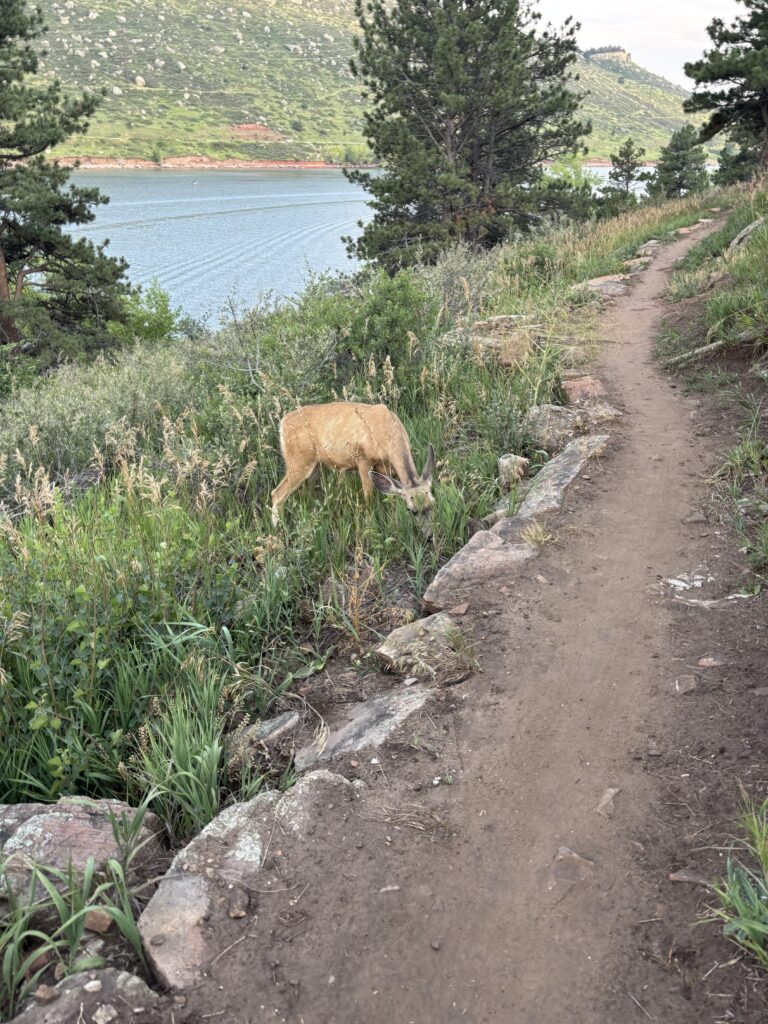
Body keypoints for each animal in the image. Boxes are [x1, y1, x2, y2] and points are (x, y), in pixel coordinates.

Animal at [271, 402, 436, 536]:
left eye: (432, 504)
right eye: (412, 510)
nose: (429, 536)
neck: (388, 432)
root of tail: (283, 423)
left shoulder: (389, 470)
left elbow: (392, 499)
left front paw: (394, 525)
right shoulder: (362, 458)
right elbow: (369, 497)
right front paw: (371, 527)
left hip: (314, 466)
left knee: (306, 493)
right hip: (298, 460)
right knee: (277, 494)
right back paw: (280, 531)